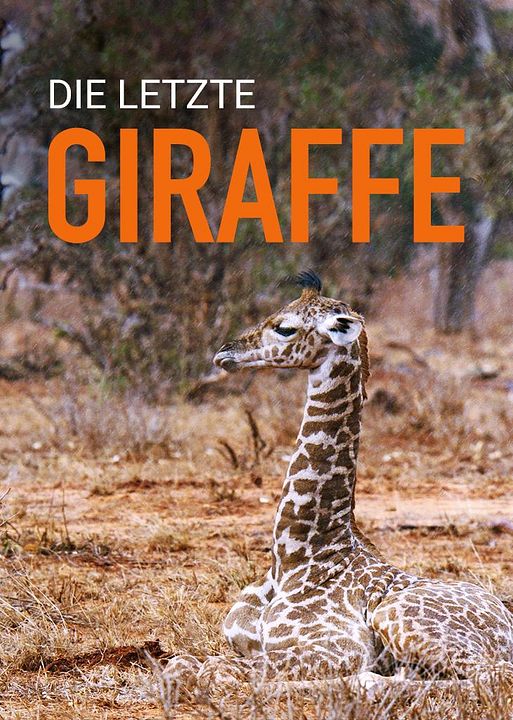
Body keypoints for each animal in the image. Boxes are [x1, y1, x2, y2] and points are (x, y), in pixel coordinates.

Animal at [164, 271, 513, 696]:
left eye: (285, 328)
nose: (224, 352)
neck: (295, 557)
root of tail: (507, 624)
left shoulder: (338, 646)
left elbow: (222, 672)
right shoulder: (240, 639)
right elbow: (181, 664)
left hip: (397, 615)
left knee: (489, 677)